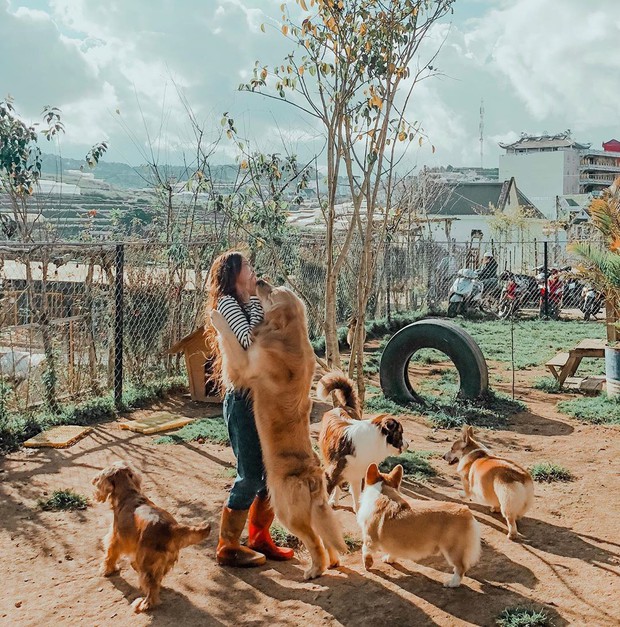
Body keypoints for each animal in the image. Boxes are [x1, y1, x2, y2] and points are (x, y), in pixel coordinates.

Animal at [92, 462, 212, 612]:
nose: (93, 481)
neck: (128, 494)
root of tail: (171, 527)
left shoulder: (116, 538)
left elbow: (110, 555)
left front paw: (107, 570)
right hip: (163, 561)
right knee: (157, 580)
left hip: (147, 563)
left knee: (151, 587)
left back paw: (144, 604)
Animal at [320, 370, 406, 512]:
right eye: (401, 433)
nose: (407, 444)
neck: (374, 439)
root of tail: (343, 406)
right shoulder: (331, 474)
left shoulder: (360, 473)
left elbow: (357, 495)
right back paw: (334, 500)